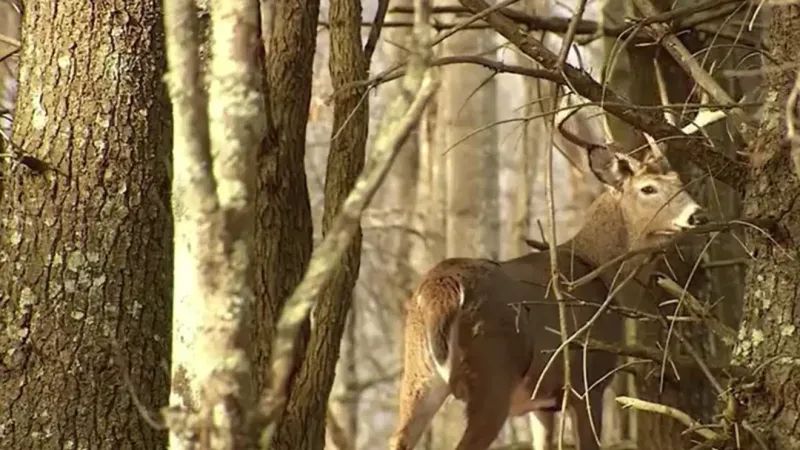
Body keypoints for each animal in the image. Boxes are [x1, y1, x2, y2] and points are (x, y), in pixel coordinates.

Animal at [389, 130, 708, 450]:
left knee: (398, 437)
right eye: (648, 188)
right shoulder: (586, 382)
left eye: (680, 181)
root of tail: (441, 288)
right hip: (493, 375)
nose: (698, 215)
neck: (602, 275)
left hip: (418, 375)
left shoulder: (540, 403)